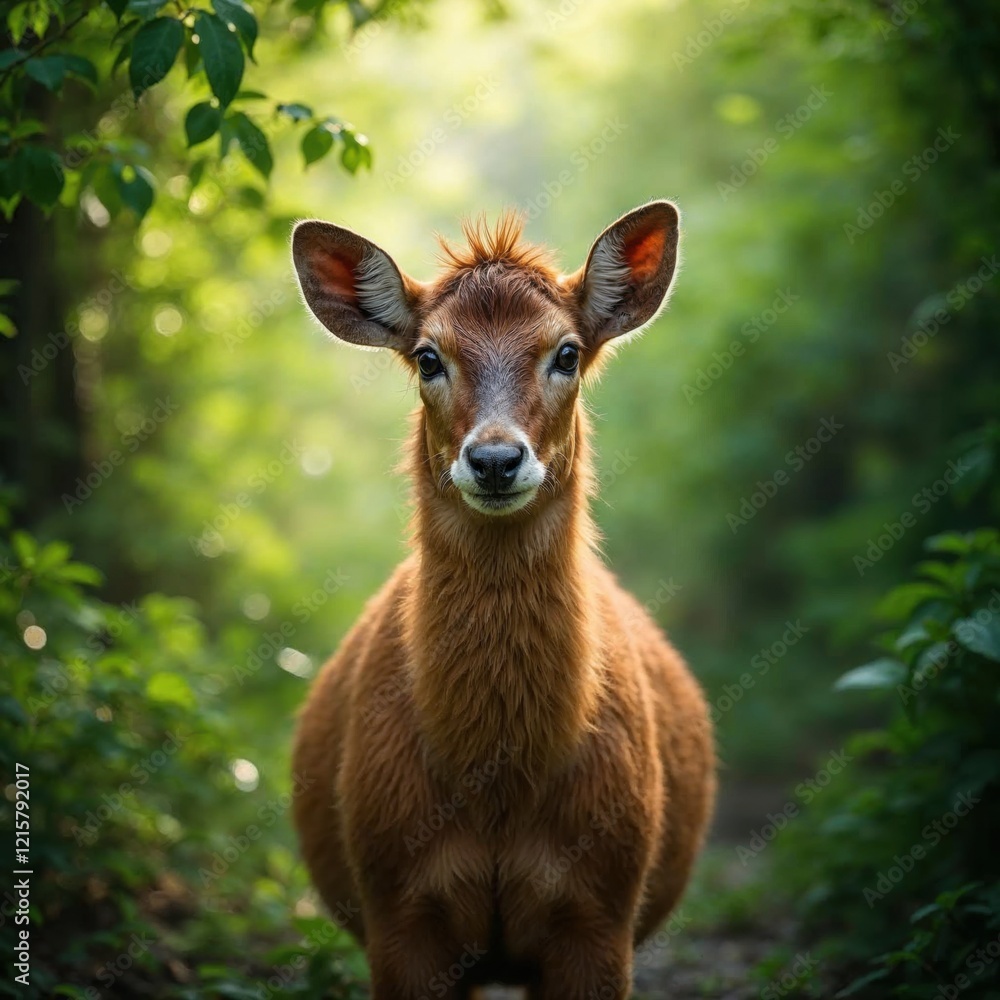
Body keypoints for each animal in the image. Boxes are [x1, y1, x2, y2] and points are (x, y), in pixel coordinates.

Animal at [290, 201, 716, 1000]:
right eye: (428, 356)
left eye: (567, 353)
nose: (494, 458)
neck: (498, 786)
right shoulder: (399, 911)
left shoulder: (599, 913)